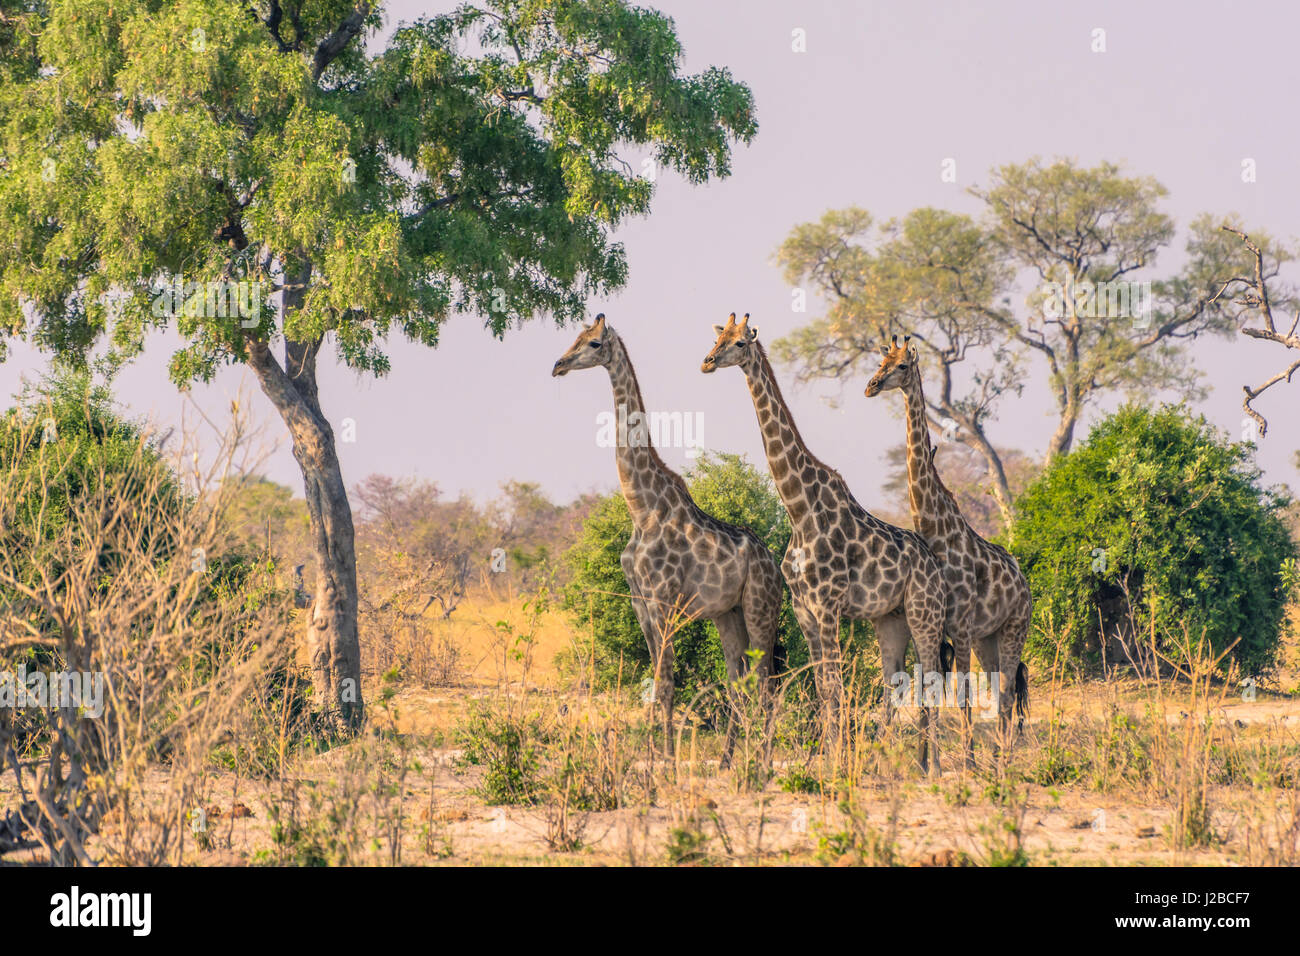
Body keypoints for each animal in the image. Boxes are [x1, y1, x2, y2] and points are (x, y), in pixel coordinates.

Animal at [551, 317, 780, 764]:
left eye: (594, 343)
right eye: (574, 337)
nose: (558, 365)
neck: (641, 509)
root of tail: (775, 564)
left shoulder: (664, 600)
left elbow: (668, 683)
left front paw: (668, 760)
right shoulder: (640, 602)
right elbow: (657, 683)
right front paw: (654, 754)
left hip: (761, 609)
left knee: (764, 684)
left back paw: (760, 763)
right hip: (728, 615)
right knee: (738, 680)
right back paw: (728, 761)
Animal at [707, 314, 951, 780]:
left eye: (740, 342)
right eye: (718, 337)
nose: (707, 361)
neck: (798, 508)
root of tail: (934, 563)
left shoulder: (828, 605)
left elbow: (834, 688)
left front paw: (836, 763)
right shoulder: (804, 608)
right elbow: (823, 687)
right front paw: (829, 760)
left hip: (924, 613)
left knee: (929, 678)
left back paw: (926, 766)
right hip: (890, 620)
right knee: (895, 680)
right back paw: (889, 761)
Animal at [868, 332, 1029, 749]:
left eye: (901, 366)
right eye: (879, 363)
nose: (871, 386)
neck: (937, 533)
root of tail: (1025, 585)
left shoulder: (960, 625)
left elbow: (962, 696)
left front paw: (965, 756)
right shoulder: (948, 629)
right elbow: (935, 693)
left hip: (1014, 629)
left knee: (1008, 693)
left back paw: (1003, 755)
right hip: (988, 638)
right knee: (1001, 693)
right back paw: (998, 754)